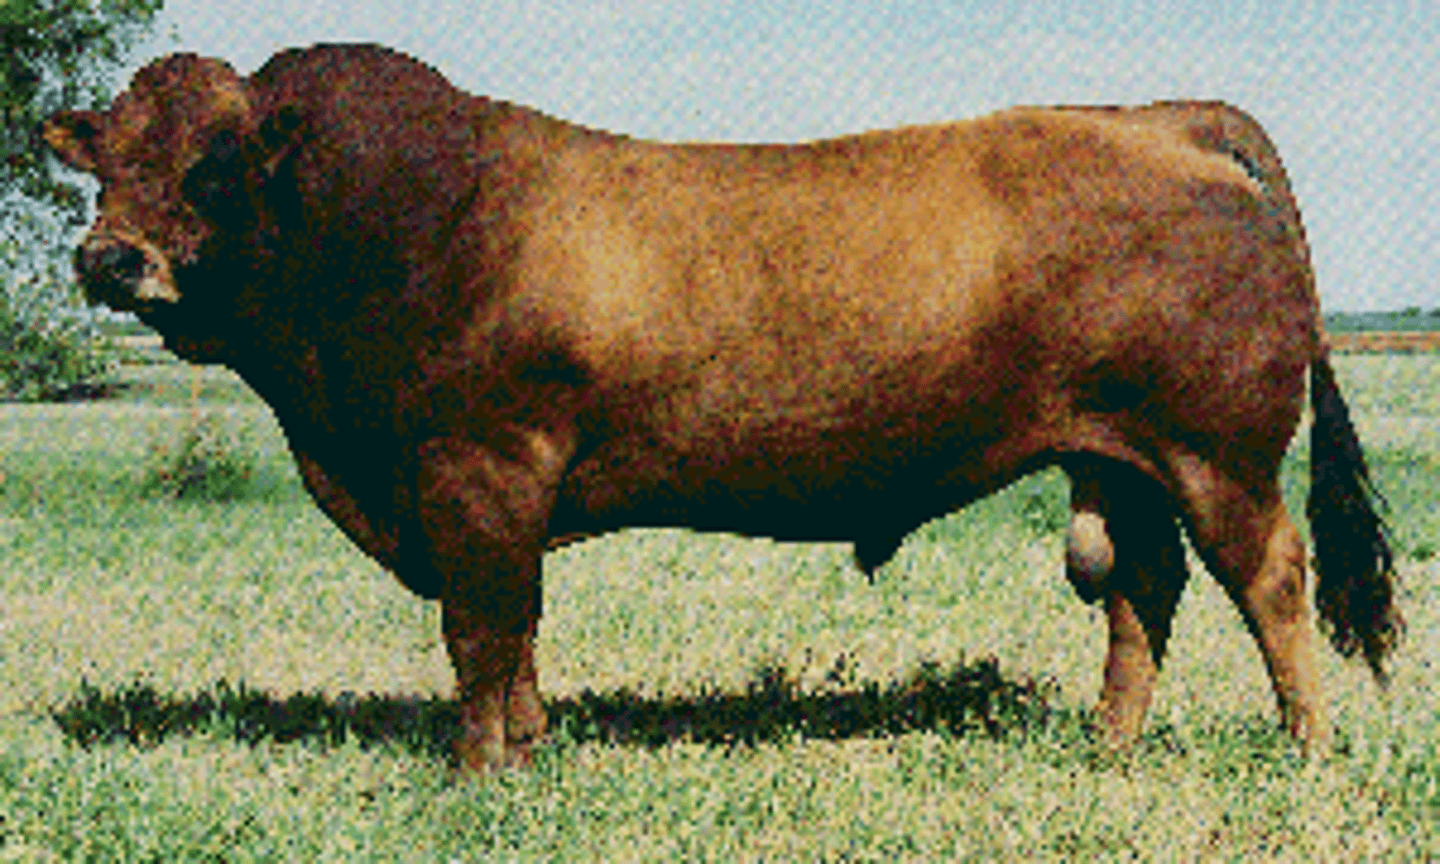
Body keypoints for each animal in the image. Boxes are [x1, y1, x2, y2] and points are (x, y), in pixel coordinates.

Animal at [43, 44, 1399, 772]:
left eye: (215, 162)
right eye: (103, 158)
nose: (110, 259)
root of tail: (1159, 119)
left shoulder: (479, 464)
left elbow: (482, 627)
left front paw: (480, 770)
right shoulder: (489, 489)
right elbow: (516, 628)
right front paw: (530, 746)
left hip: (1218, 450)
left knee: (1271, 578)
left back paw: (1306, 747)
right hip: (1117, 453)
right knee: (1140, 588)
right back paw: (1107, 743)